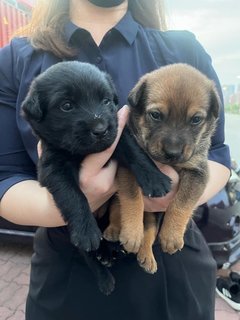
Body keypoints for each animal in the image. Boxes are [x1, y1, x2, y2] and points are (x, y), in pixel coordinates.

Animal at [21, 61, 171, 294]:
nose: (101, 130)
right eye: (66, 106)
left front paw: (156, 178)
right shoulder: (53, 166)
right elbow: (73, 195)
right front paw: (86, 231)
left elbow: (135, 151)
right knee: (87, 253)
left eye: (106, 101)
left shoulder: (117, 136)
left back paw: (113, 251)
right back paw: (104, 274)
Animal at [103, 63, 219, 274]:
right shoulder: (130, 165)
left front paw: (171, 236)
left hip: (153, 215)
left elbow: (182, 203)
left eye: (196, 119)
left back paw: (147, 256)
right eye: (155, 115)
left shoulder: (198, 172)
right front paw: (132, 233)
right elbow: (132, 199)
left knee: (149, 230)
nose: (172, 153)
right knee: (117, 208)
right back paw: (116, 229)